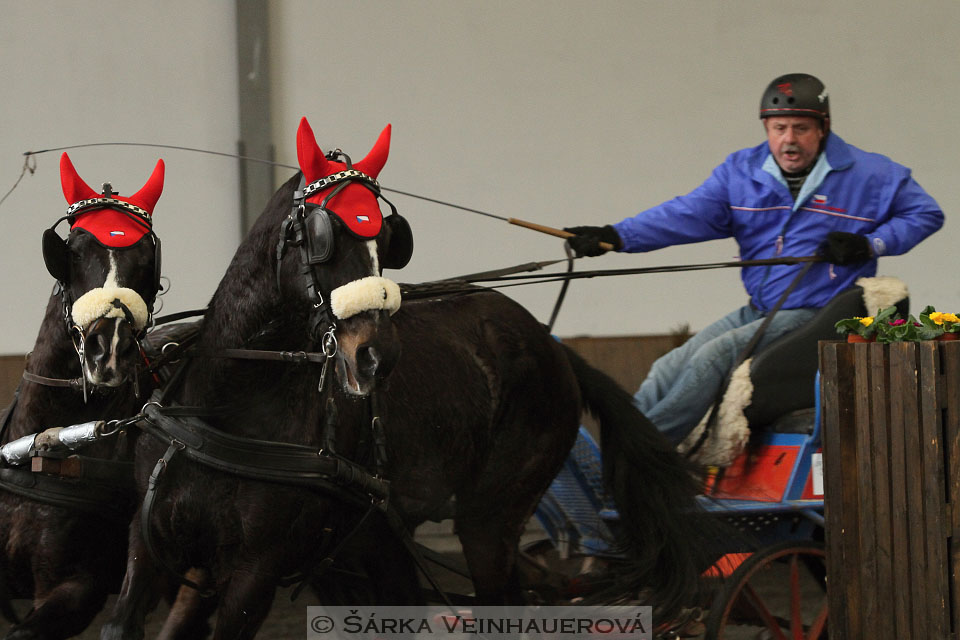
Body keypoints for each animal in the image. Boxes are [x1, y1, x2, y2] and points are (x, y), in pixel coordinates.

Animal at [103, 117, 704, 636]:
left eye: (387, 240)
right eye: (321, 234)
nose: (375, 356)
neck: (226, 408)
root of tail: (550, 347)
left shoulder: (256, 568)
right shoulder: (155, 549)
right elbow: (124, 620)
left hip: (490, 519)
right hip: (374, 542)